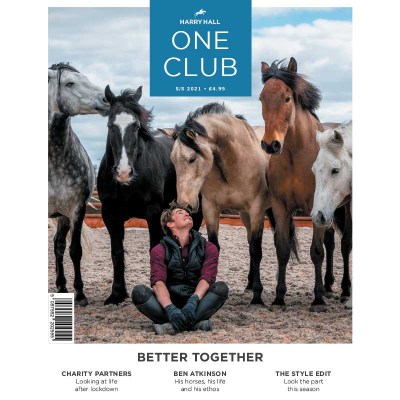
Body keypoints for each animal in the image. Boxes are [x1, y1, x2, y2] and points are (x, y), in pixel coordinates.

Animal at [48, 62, 109, 306]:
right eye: (70, 83)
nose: (107, 98)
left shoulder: (76, 210)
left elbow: (75, 251)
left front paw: (80, 293)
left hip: (63, 216)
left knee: (58, 245)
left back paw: (62, 286)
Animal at [97, 85, 203, 306]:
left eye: (136, 126)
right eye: (111, 125)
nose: (123, 172)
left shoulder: (153, 212)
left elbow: (154, 247)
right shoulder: (110, 214)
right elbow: (116, 252)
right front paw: (117, 294)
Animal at [170, 102, 270, 304]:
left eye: (192, 158)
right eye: (173, 161)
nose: (184, 204)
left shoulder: (257, 210)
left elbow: (256, 250)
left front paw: (257, 295)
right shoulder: (211, 209)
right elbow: (214, 247)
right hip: (245, 215)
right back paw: (249, 283)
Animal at [260, 57, 350, 310]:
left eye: (287, 98)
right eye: (261, 98)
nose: (270, 145)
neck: (294, 156)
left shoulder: (314, 207)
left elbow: (317, 251)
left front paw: (318, 298)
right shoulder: (280, 206)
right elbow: (282, 249)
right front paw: (279, 297)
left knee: (345, 245)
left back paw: (344, 290)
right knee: (332, 243)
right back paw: (329, 285)